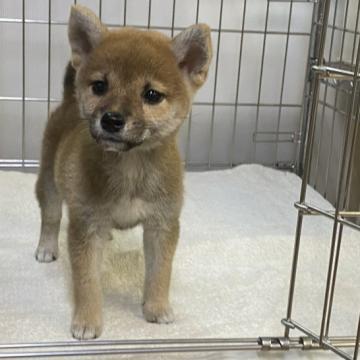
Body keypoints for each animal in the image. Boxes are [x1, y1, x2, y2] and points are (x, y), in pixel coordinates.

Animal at [34, 4, 211, 338]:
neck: (131, 167)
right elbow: (87, 281)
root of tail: (67, 101)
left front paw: (156, 307)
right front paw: (87, 320)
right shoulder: (86, 227)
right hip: (49, 183)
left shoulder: (161, 225)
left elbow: (159, 272)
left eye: (152, 95)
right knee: (50, 218)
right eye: (100, 86)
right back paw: (46, 248)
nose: (112, 119)